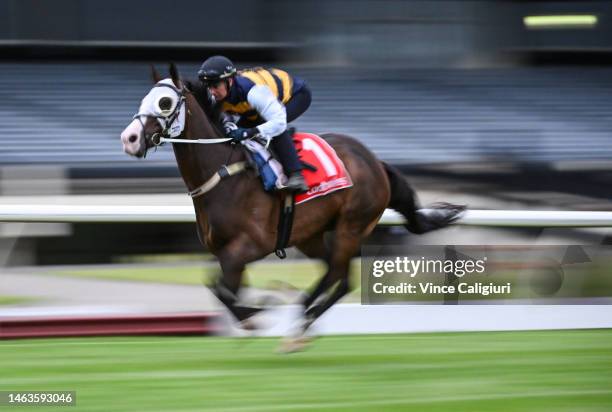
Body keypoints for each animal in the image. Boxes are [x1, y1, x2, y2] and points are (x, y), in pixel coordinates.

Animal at [120, 64, 464, 350]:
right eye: (144, 99)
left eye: (165, 103)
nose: (129, 138)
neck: (223, 173)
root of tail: (375, 161)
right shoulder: (225, 252)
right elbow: (220, 287)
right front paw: (256, 310)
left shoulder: (250, 246)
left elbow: (220, 287)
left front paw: (259, 312)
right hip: (312, 235)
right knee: (339, 276)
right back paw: (302, 322)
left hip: (350, 227)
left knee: (337, 273)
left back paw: (300, 322)